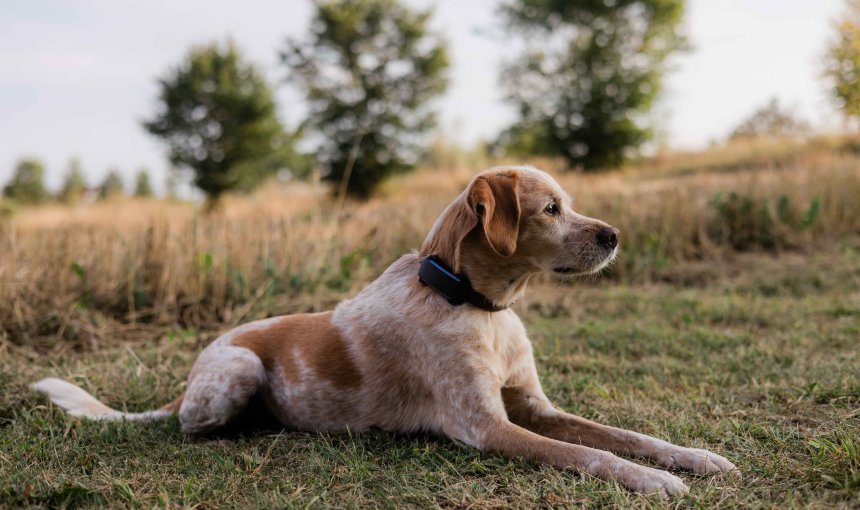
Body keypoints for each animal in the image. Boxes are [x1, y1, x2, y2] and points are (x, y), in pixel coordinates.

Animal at [30, 166, 736, 494]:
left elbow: (623, 436)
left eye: (571, 203)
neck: (477, 306)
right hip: (240, 370)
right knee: (194, 428)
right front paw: (652, 481)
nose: (614, 235)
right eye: (551, 209)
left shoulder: (537, 407)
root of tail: (190, 375)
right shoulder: (486, 428)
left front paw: (694, 457)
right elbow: (591, 455)